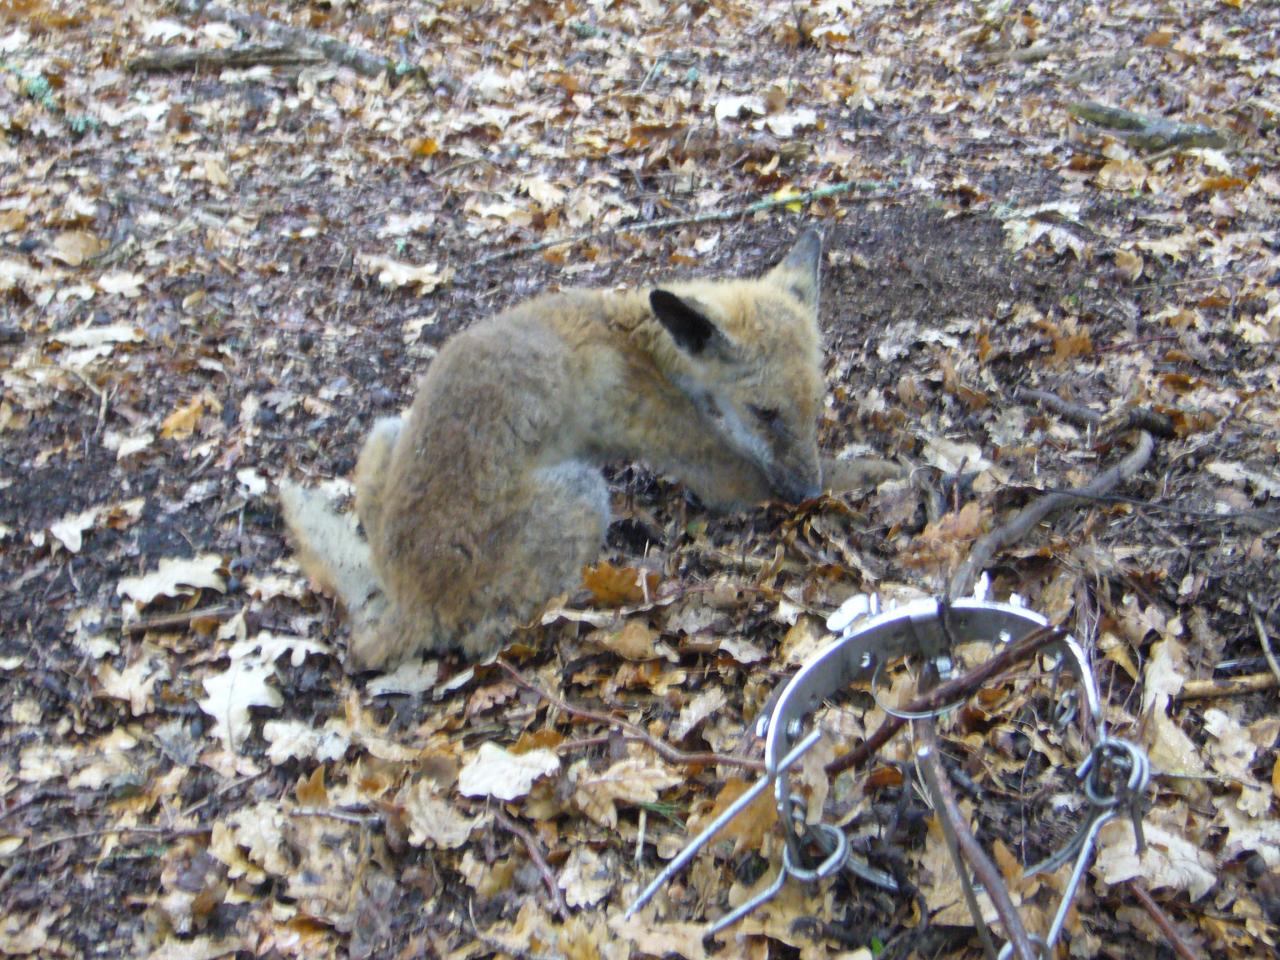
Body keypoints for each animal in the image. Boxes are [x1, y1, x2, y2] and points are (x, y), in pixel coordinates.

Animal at [286, 231, 855, 670]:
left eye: (816, 404)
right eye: (764, 412)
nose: (808, 492)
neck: (634, 338)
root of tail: (409, 598)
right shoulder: (701, 459)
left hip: (387, 432)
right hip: (583, 493)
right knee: (484, 635)